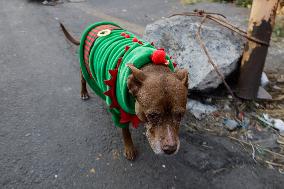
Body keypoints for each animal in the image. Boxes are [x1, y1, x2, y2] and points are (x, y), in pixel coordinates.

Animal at [60, 22, 189, 160]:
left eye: (180, 115)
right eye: (152, 115)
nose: (170, 149)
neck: (153, 67)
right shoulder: (118, 111)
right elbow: (125, 131)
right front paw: (129, 148)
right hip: (85, 67)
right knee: (83, 79)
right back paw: (84, 92)